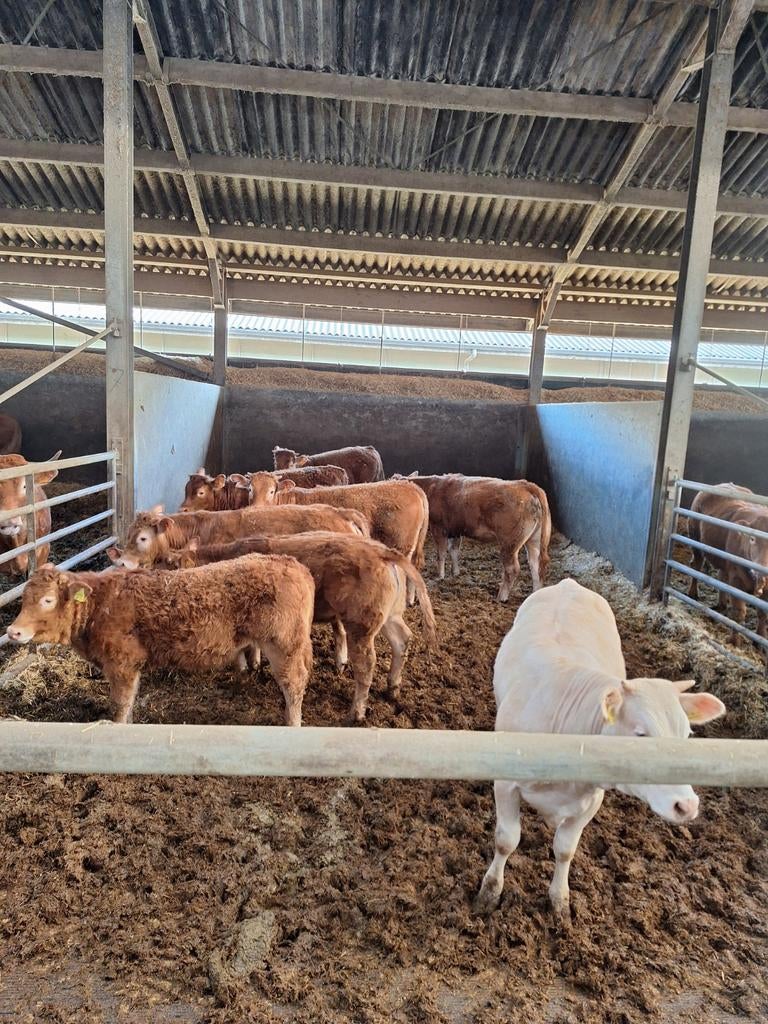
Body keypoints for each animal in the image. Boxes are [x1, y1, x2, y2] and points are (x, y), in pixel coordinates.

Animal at [6, 558, 315, 726]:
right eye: (23, 599)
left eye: (48, 600)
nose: (13, 631)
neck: (100, 605)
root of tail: (293, 564)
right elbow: (130, 702)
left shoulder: (121, 663)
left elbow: (120, 704)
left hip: (284, 644)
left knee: (294, 683)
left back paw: (293, 724)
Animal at [158, 532, 437, 722]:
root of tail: (383, 552)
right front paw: (252, 666)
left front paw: (244, 668)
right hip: (391, 616)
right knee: (403, 640)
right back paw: (392, 688)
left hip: (360, 624)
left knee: (366, 664)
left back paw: (356, 712)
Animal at [396, 474, 551, 602]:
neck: (431, 487)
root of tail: (525, 485)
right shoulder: (455, 530)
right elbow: (454, 551)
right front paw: (455, 573)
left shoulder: (439, 528)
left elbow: (441, 554)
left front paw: (440, 575)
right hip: (534, 540)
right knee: (535, 565)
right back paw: (535, 593)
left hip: (509, 543)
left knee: (512, 569)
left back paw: (501, 597)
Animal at [475, 578, 726, 921]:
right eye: (641, 735)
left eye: (687, 734)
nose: (686, 805)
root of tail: (568, 583)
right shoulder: (504, 783)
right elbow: (506, 840)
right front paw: (490, 891)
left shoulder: (591, 800)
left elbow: (565, 849)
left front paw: (560, 901)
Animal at [688, 483, 768, 641]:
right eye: (752, 539)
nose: (761, 569)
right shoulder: (736, 579)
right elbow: (738, 612)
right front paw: (734, 641)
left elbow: (763, 614)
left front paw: (760, 639)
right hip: (696, 540)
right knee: (696, 566)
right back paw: (693, 593)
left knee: (722, 577)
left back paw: (722, 604)